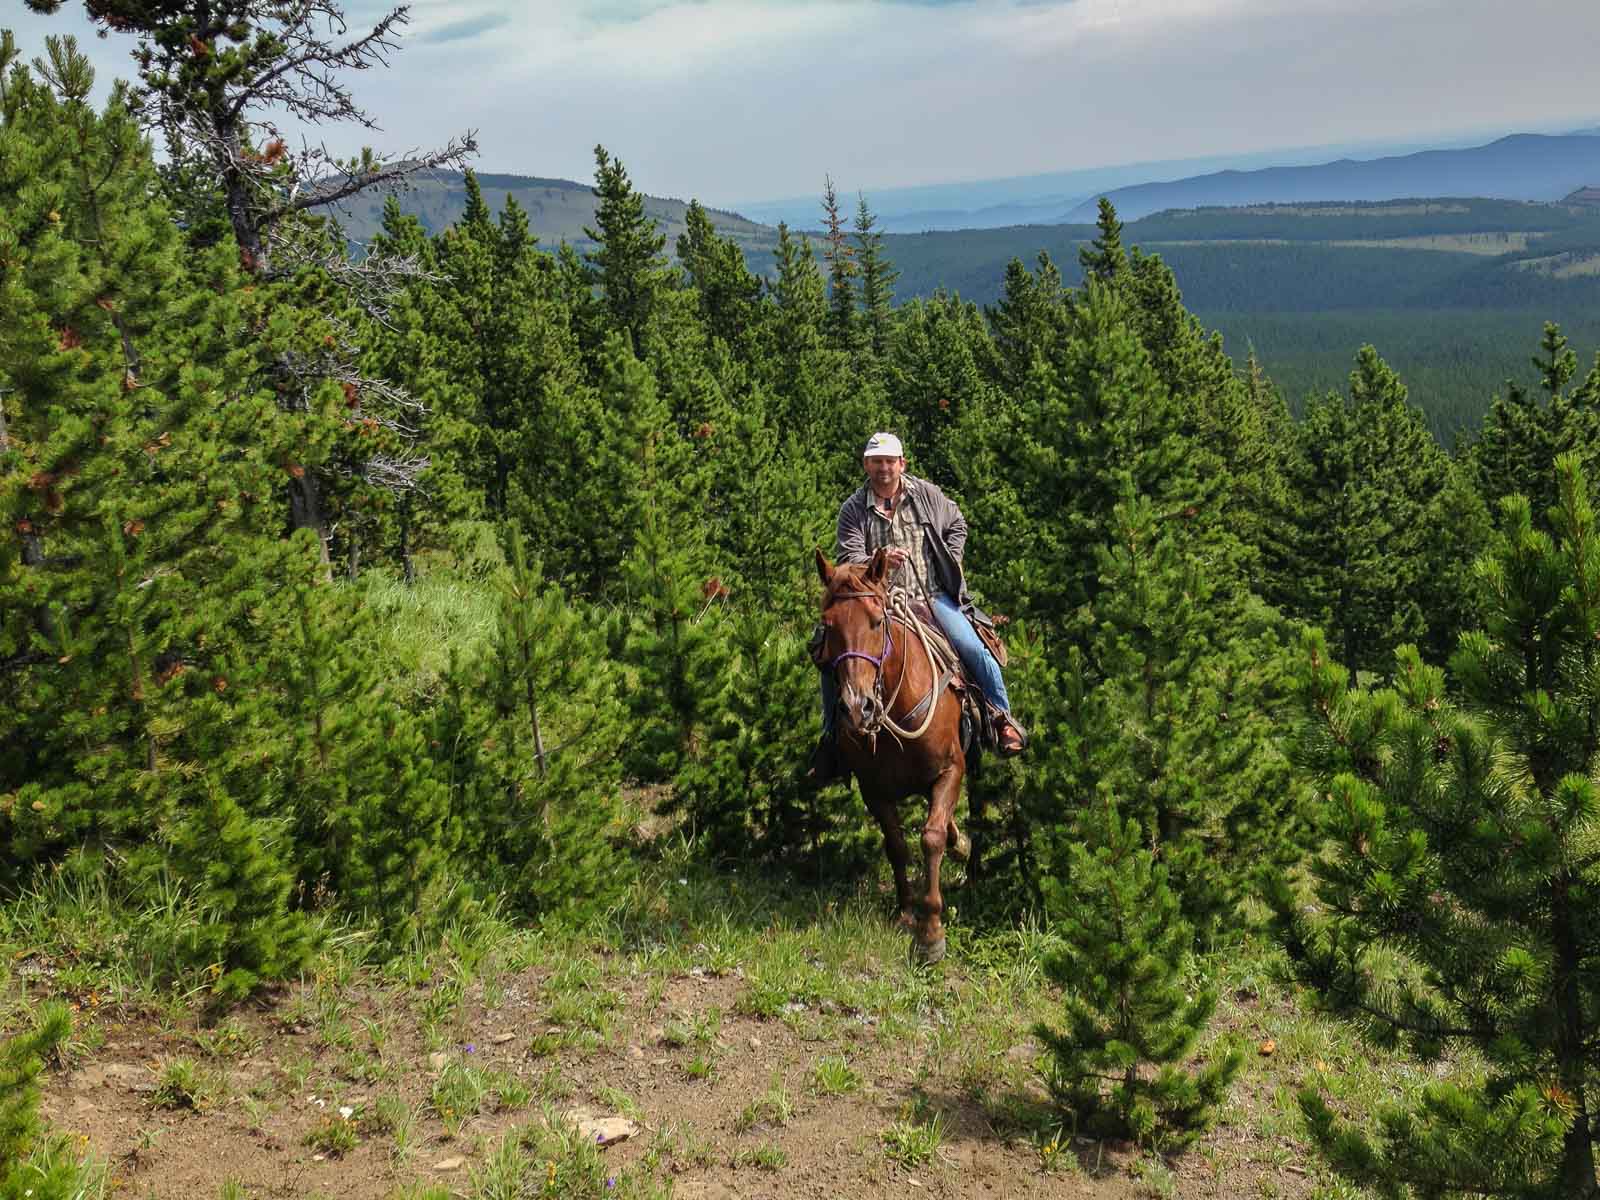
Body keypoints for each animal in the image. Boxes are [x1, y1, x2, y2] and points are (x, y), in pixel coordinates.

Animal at [819, 547, 966, 966]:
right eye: (827, 625)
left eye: (876, 620)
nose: (857, 708)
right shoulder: (874, 790)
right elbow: (897, 845)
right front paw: (905, 912)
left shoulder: (951, 769)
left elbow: (931, 837)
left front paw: (930, 934)